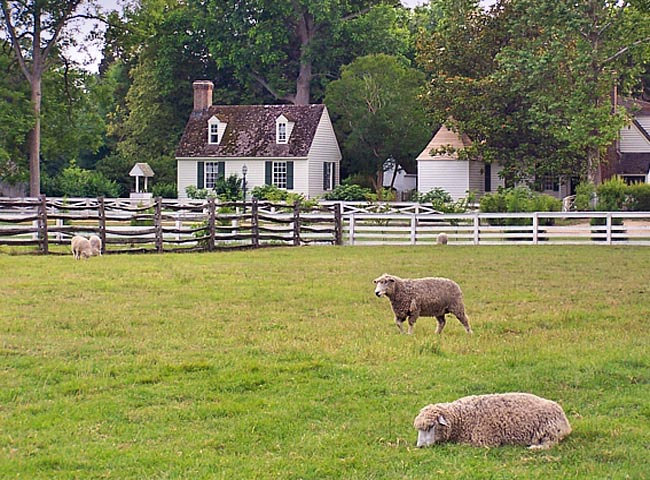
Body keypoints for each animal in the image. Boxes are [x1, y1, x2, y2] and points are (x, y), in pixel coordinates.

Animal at [412, 394, 568, 450]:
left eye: (432, 426)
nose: (420, 446)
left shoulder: (485, 441)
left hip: (549, 431)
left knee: (550, 444)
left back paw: (534, 447)